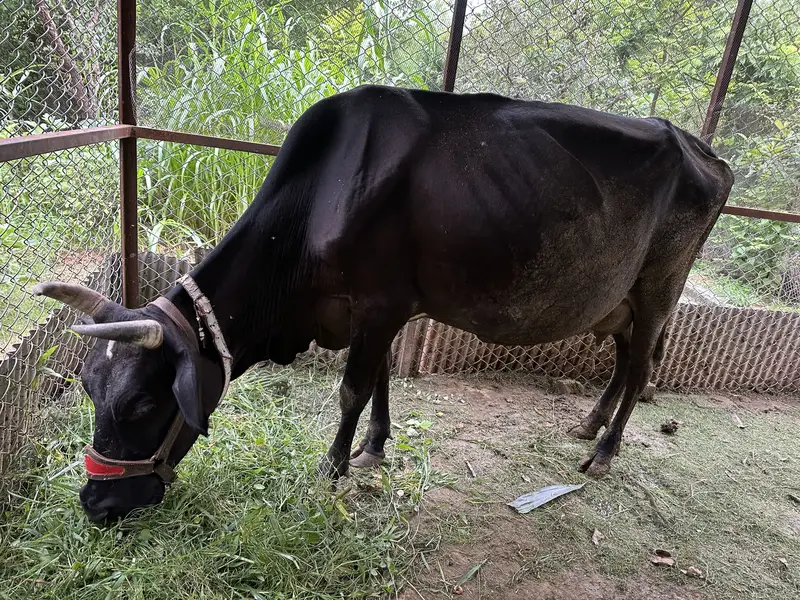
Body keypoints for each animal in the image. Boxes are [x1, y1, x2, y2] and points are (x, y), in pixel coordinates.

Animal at [33, 84, 734, 522]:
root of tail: (707, 153)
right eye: (90, 389)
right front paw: (374, 445)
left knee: (641, 368)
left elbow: (353, 387)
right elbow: (382, 380)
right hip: (617, 301)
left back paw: (604, 452)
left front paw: (333, 467)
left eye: (142, 403)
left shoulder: (378, 303)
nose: (96, 506)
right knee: (623, 361)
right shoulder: (384, 309)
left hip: (659, 287)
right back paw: (589, 424)